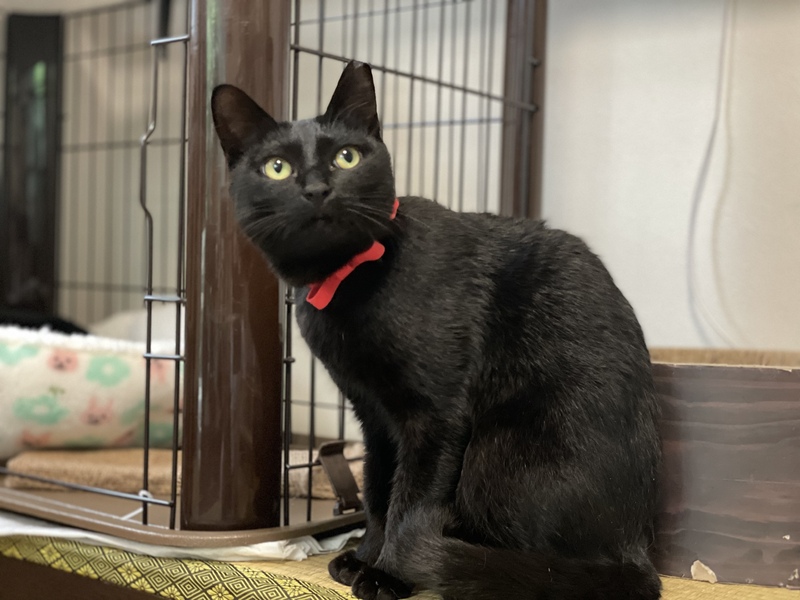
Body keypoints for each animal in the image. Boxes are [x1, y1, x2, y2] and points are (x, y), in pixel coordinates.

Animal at [211, 61, 662, 600]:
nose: (318, 189)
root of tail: (637, 550)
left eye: (346, 157)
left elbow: (410, 499)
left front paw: (387, 573)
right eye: (276, 168)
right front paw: (364, 556)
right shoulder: (374, 416)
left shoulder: (434, 416)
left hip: (495, 456)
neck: (348, 279)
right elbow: (378, 488)